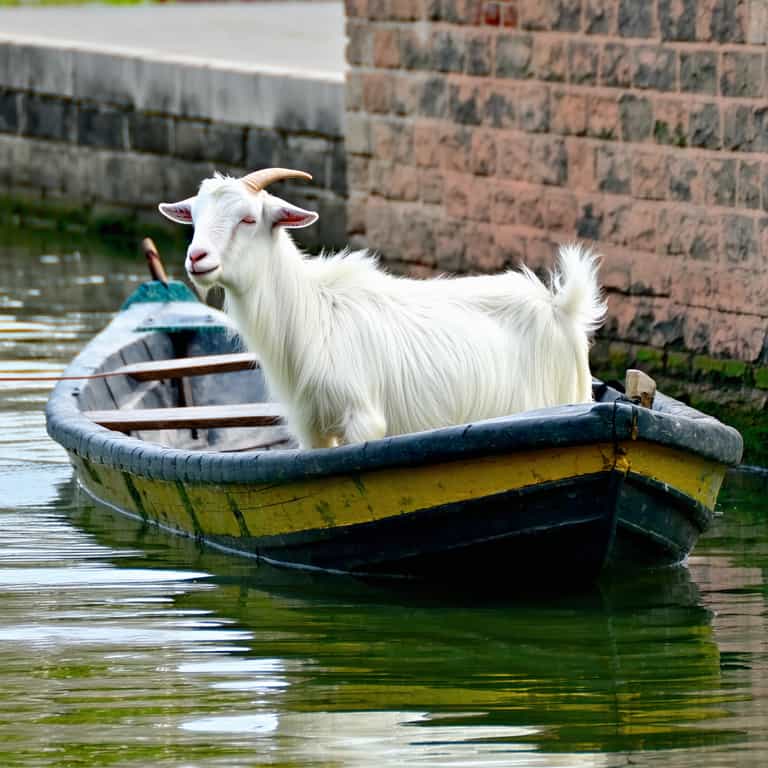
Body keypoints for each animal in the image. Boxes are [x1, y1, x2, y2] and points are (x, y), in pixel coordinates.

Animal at [159, 167, 606, 450]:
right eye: (193, 217)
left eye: (248, 219)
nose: (197, 258)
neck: (312, 315)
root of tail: (560, 305)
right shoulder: (311, 425)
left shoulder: (364, 419)